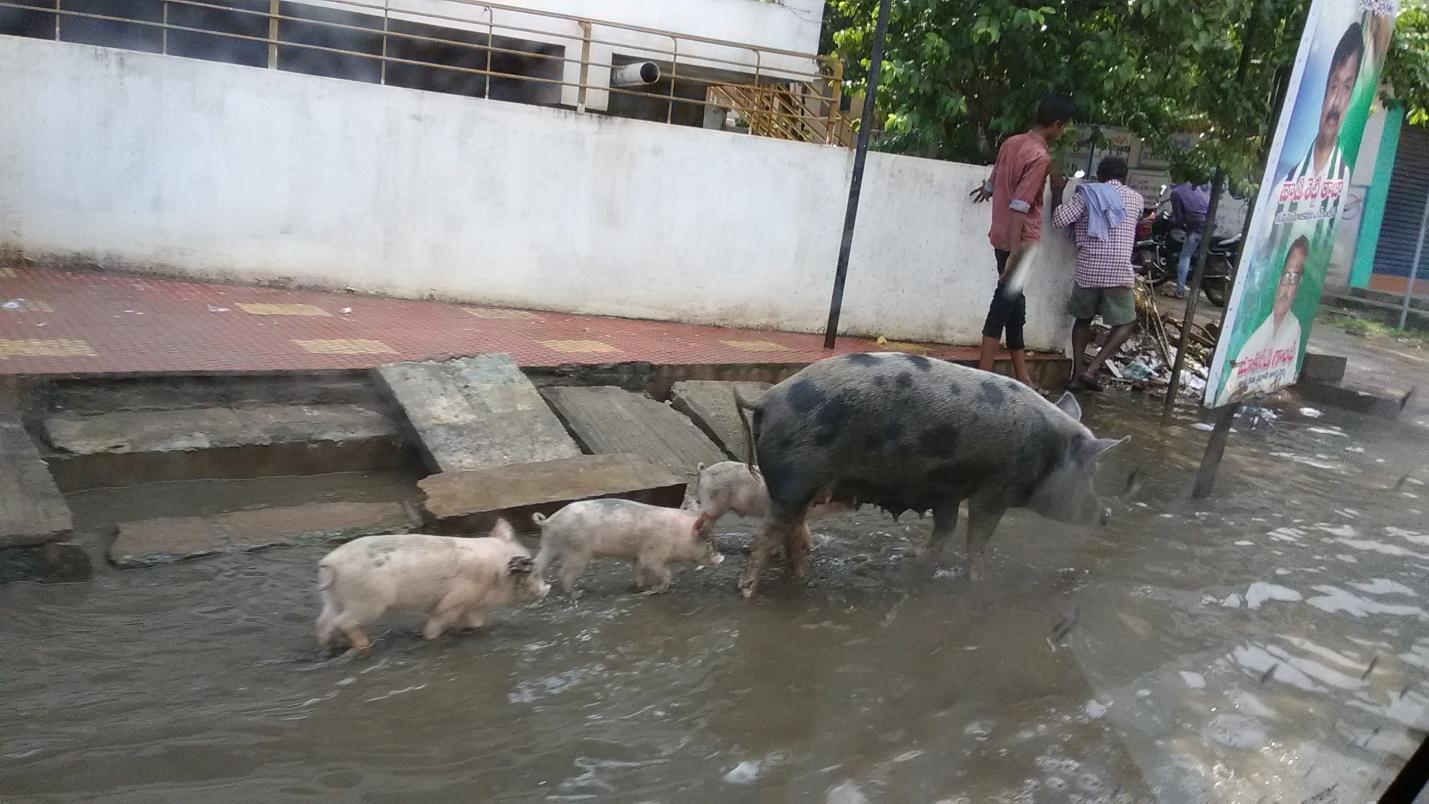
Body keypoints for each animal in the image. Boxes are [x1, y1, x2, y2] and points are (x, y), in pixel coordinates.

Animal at [315, 522, 548, 654]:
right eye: (532, 572)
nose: (546, 588)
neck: (494, 573)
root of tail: (331, 562)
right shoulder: (453, 602)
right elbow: (436, 623)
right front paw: (429, 637)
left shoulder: (474, 605)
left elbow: (476, 624)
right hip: (367, 600)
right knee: (343, 622)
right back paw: (364, 646)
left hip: (333, 597)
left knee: (324, 623)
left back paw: (332, 646)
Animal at [737, 354, 1126, 596]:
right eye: (1091, 470)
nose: (1107, 514)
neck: (1047, 451)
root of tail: (769, 398)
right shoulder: (994, 490)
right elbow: (977, 541)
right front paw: (979, 582)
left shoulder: (947, 491)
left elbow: (945, 531)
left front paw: (915, 563)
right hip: (796, 481)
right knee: (764, 538)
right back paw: (748, 593)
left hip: (806, 486)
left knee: (790, 536)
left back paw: (802, 579)